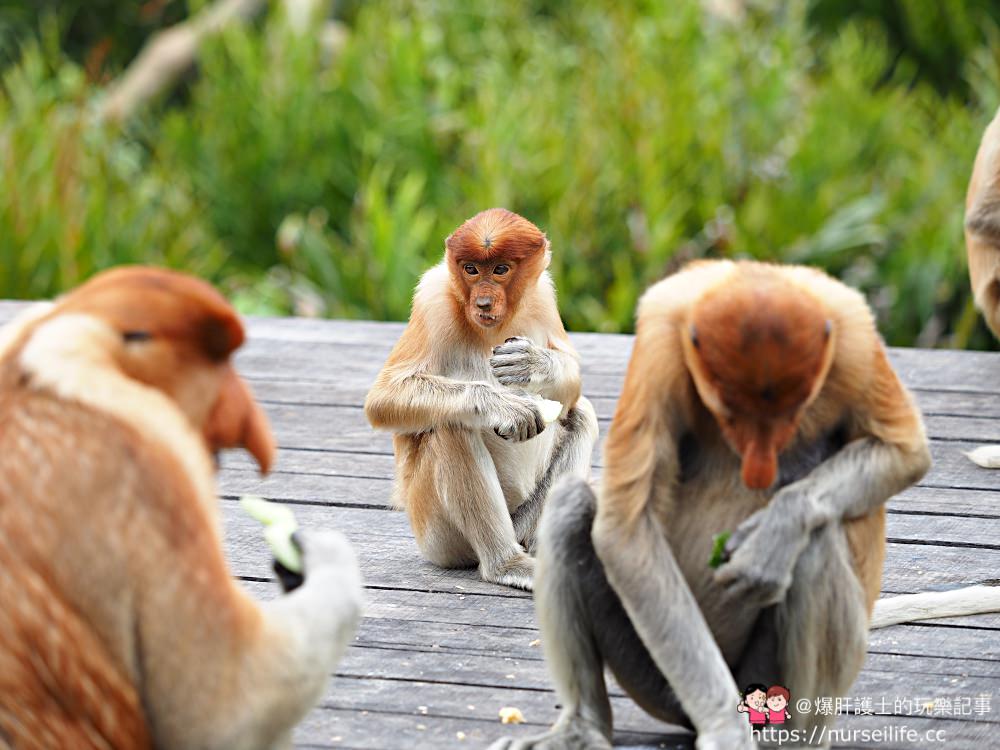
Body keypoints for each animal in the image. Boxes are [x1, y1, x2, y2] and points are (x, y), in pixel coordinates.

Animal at [368, 207, 600, 592]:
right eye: (471, 269)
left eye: (501, 269)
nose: (483, 302)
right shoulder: (433, 298)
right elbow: (384, 397)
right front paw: (504, 405)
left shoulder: (543, 294)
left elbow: (573, 378)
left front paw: (530, 362)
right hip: (438, 536)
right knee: (451, 426)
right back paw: (507, 564)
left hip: (523, 519)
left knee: (581, 414)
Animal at [488, 260, 932, 750]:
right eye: (731, 414)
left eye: (792, 415)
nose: (758, 469)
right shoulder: (661, 346)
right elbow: (625, 529)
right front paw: (724, 729)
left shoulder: (853, 335)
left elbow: (904, 450)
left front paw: (774, 535)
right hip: (654, 674)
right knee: (570, 505)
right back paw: (581, 728)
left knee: (816, 545)